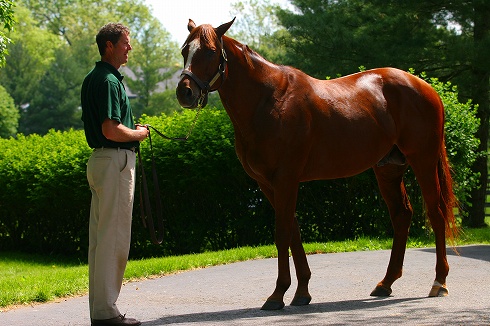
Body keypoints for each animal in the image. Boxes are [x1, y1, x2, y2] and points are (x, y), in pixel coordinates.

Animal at [176, 19, 460, 310]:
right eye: (185, 50)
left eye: (210, 51)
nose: (185, 92)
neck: (269, 101)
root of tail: (427, 88)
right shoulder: (268, 184)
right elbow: (294, 231)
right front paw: (302, 291)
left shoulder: (286, 179)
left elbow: (282, 233)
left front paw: (277, 294)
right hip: (388, 170)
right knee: (402, 215)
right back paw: (386, 283)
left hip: (423, 160)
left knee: (436, 213)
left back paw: (439, 282)